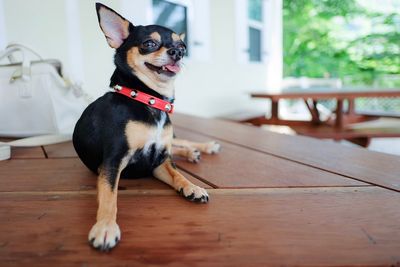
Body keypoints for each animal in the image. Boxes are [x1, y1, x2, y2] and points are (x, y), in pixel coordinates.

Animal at [73, 3, 220, 252]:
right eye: (149, 43)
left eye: (183, 46)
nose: (178, 52)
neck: (149, 100)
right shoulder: (113, 162)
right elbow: (109, 197)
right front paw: (105, 227)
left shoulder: (159, 160)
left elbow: (178, 174)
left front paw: (192, 186)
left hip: (170, 143)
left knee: (180, 142)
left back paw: (203, 147)